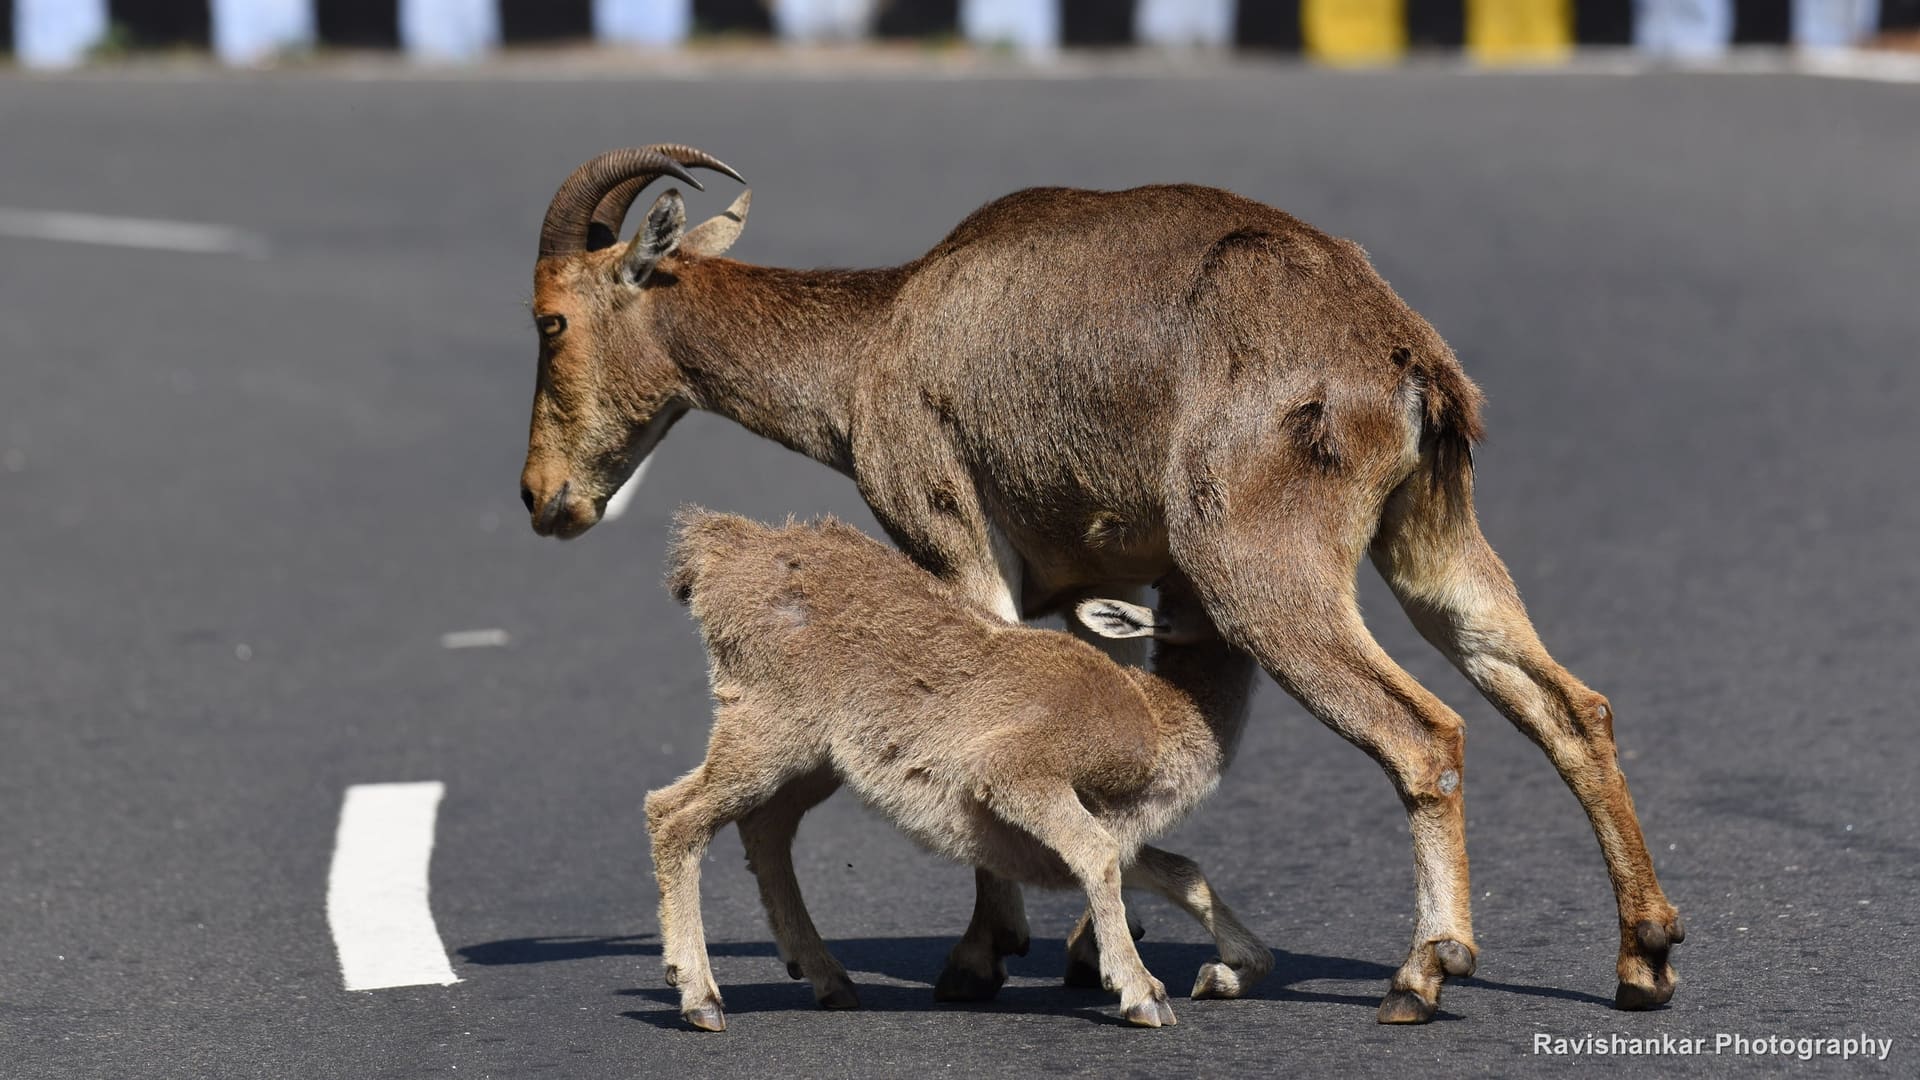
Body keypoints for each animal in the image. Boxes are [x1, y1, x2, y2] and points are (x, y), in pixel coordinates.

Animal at [650, 510, 1269, 1031]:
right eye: (1204, 592)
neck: (1157, 716)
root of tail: (715, 551)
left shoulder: (1073, 841)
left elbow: (1178, 870)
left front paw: (1228, 970)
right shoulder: (1020, 770)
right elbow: (1099, 855)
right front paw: (1145, 994)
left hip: (811, 763)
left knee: (763, 829)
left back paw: (829, 980)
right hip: (766, 728)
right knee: (674, 814)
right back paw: (701, 998)